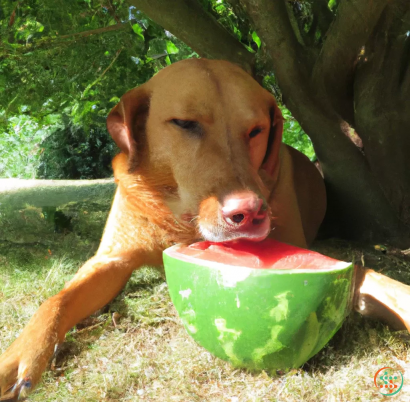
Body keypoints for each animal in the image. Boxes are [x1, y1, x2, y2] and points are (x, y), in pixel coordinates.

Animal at [0, 58, 410, 400]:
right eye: (184, 123)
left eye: (257, 130)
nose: (250, 212)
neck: (181, 219)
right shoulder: (112, 260)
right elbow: (56, 300)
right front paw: (19, 357)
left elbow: (372, 278)